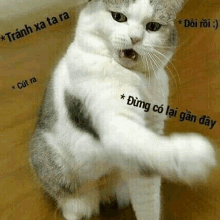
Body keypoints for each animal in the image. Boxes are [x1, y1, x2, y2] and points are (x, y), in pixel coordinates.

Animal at [29, 0, 217, 220]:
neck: (138, 79)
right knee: (72, 201)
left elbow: (148, 193)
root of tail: (101, 189)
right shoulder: (116, 120)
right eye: (118, 17)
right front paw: (193, 155)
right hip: (52, 162)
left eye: (153, 26)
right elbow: (148, 144)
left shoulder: (151, 130)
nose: (135, 38)